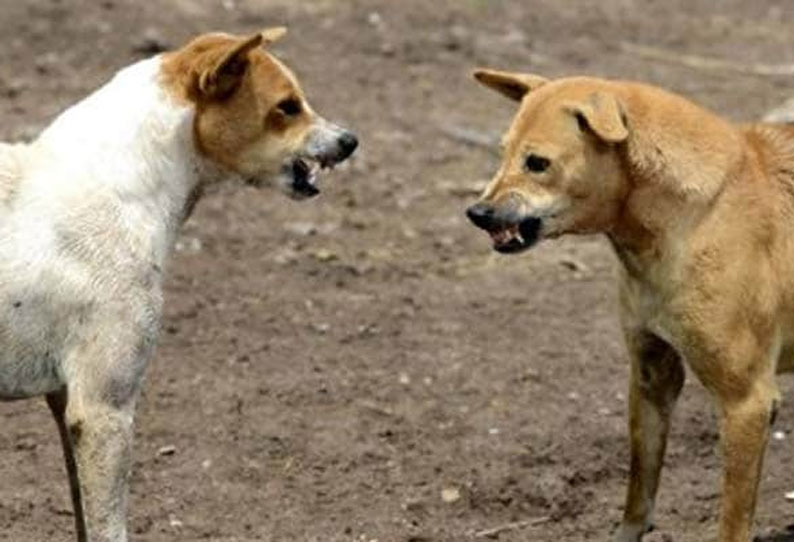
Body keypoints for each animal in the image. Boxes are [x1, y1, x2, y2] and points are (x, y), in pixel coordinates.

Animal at [0, 29, 356, 542]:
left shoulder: (65, 401)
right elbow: (108, 526)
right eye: (287, 106)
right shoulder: (103, 410)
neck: (114, 186)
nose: (351, 141)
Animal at [464, 69, 792, 542]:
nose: (477, 212)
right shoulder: (652, 374)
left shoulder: (747, 401)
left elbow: (732, 521)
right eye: (503, 151)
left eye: (537, 163)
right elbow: (640, 489)